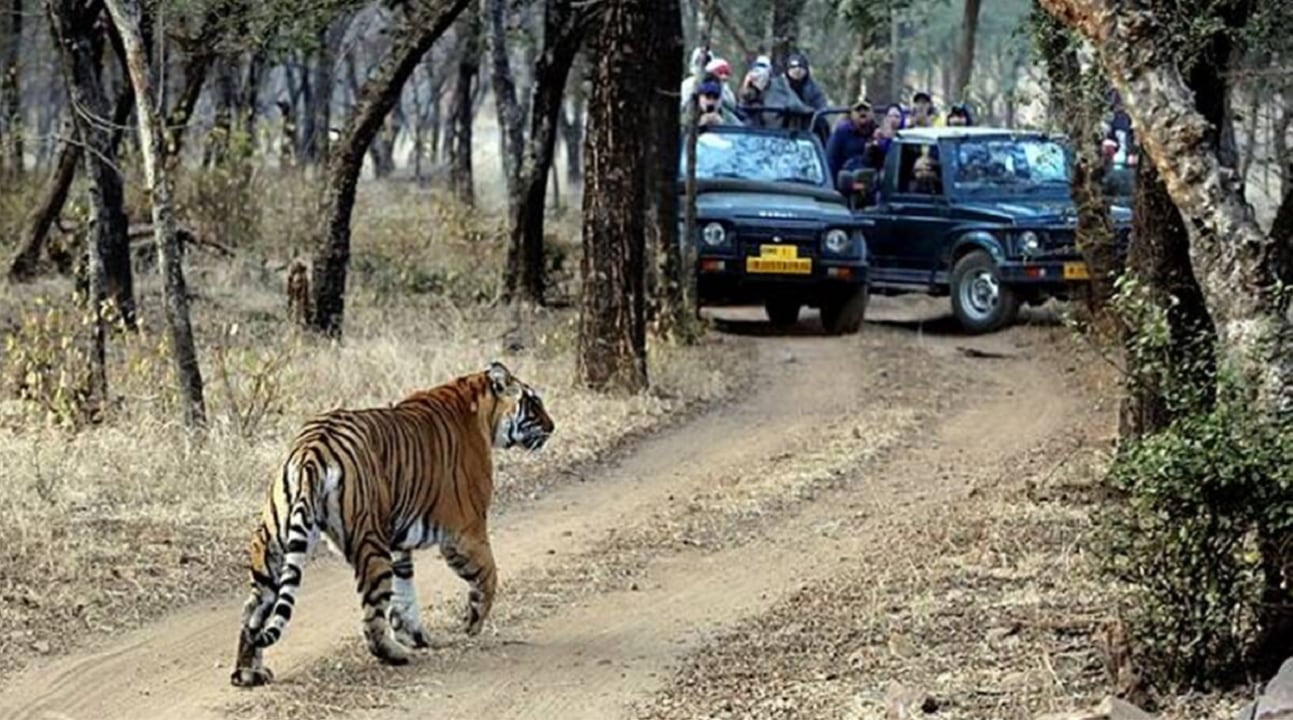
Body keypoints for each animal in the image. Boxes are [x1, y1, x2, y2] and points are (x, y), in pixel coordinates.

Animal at [230, 361, 554, 687]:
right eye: (533, 402)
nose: (552, 427)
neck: (480, 406)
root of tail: (312, 449)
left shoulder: (399, 541)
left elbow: (405, 591)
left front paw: (416, 634)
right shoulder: (466, 531)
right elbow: (489, 575)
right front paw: (472, 623)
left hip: (273, 543)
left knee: (253, 610)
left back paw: (247, 673)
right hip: (371, 544)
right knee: (371, 615)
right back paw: (393, 654)